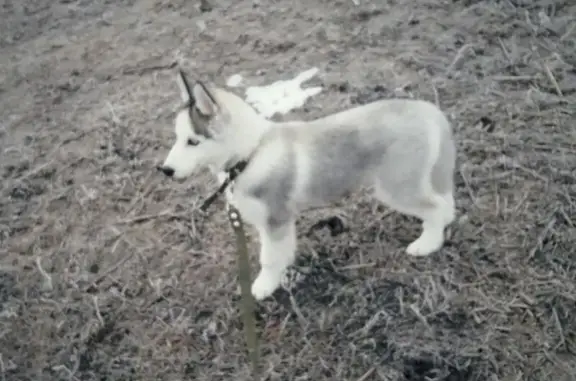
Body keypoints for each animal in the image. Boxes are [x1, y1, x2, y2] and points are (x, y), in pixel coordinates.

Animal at [160, 69, 456, 300]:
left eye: (193, 142)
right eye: (176, 137)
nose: (165, 170)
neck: (251, 154)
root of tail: (426, 109)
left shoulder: (276, 219)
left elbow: (268, 258)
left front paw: (264, 286)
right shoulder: (274, 223)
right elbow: (277, 252)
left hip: (396, 188)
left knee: (435, 207)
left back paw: (428, 244)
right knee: (445, 202)